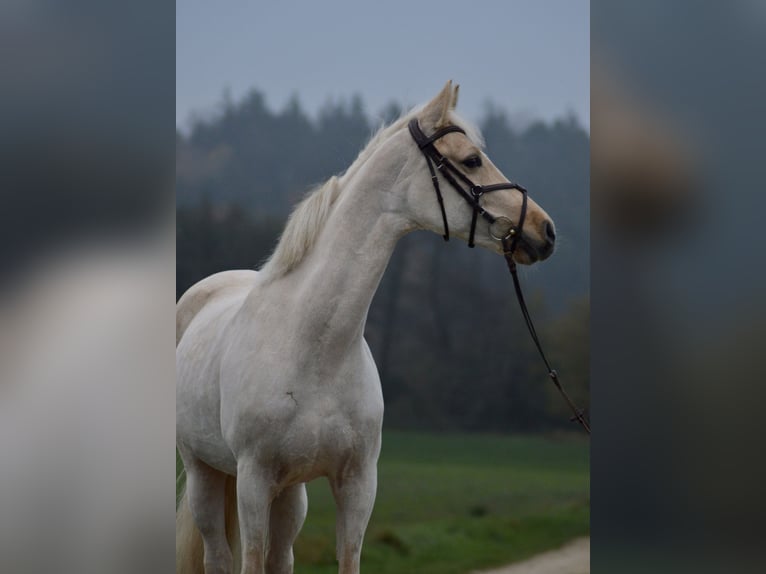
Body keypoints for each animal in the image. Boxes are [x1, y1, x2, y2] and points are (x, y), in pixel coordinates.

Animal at [176, 82, 556, 574]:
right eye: (472, 159)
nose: (544, 230)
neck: (314, 346)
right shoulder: (254, 481)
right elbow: (251, 559)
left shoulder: (357, 484)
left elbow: (347, 557)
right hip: (205, 474)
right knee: (218, 556)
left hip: (290, 493)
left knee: (281, 557)